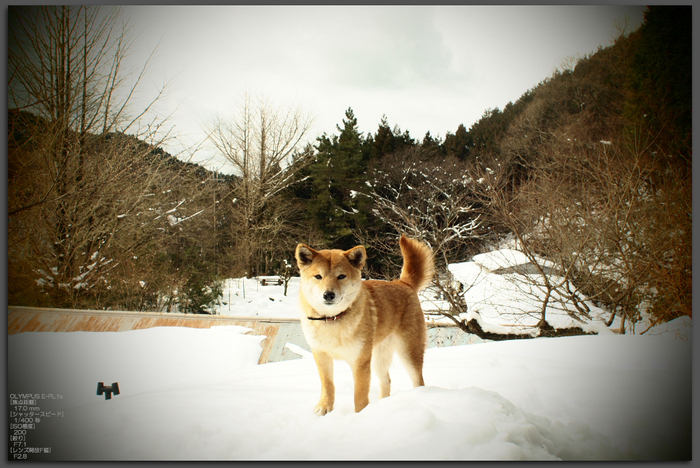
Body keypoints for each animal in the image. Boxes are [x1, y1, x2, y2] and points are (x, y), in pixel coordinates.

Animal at [294, 236, 432, 414]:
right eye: (318, 276)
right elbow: (328, 386)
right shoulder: (321, 355)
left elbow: (359, 395)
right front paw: (324, 408)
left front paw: (359, 415)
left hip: (408, 352)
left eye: (341, 276)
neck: (333, 320)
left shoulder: (360, 361)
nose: (328, 294)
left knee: (418, 381)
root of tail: (403, 283)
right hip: (379, 357)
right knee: (386, 381)